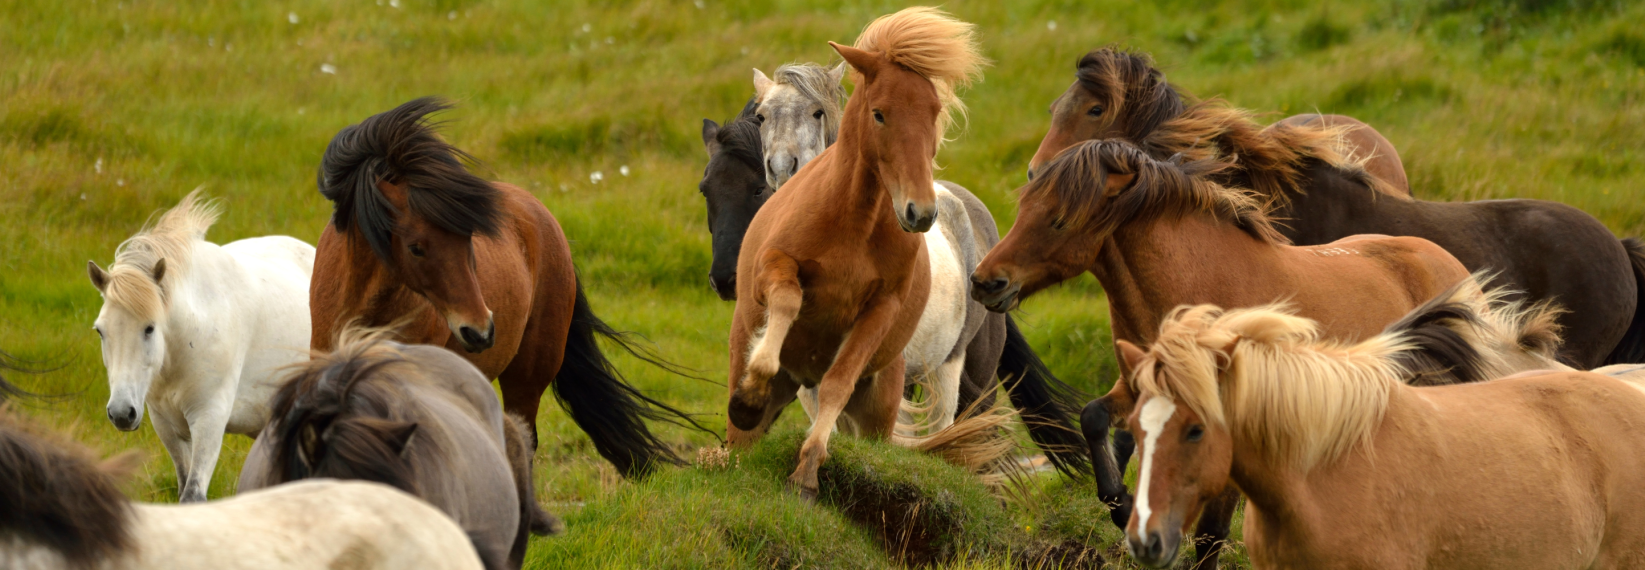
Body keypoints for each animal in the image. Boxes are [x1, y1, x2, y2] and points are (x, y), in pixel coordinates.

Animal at [85, 190, 313, 503]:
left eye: (149, 328)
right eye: (100, 331)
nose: (121, 413)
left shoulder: (209, 420)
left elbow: (192, 495)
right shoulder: (166, 425)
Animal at [309, 97, 706, 478]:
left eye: (468, 238)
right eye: (416, 247)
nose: (480, 330)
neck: (365, 308)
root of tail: (543, 217)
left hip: (528, 376)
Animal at [970, 139, 1469, 569]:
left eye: (1058, 219)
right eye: (1025, 208)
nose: (985, 282)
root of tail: (1453, 268)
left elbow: (1211, 533)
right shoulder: (1141, 389)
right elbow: (1094, 419)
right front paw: (1124, 506)